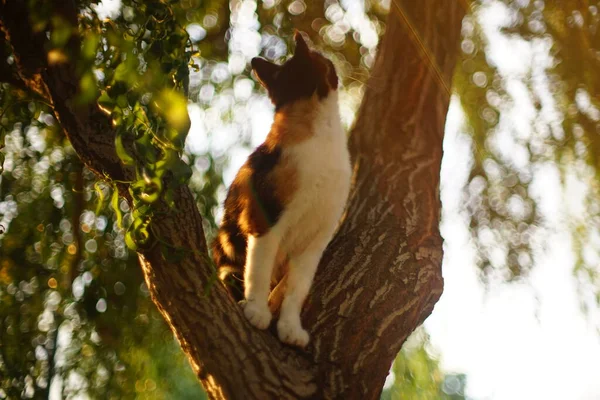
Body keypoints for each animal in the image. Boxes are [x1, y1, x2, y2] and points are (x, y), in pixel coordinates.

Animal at [212, 32, 350, 348]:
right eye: (324, 62)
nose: (335, 63)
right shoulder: (265, 219)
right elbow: (259, 271)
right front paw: (257, 311)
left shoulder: (316, 241)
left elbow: (296, 290)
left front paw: (289, 327)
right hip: (228, 266)